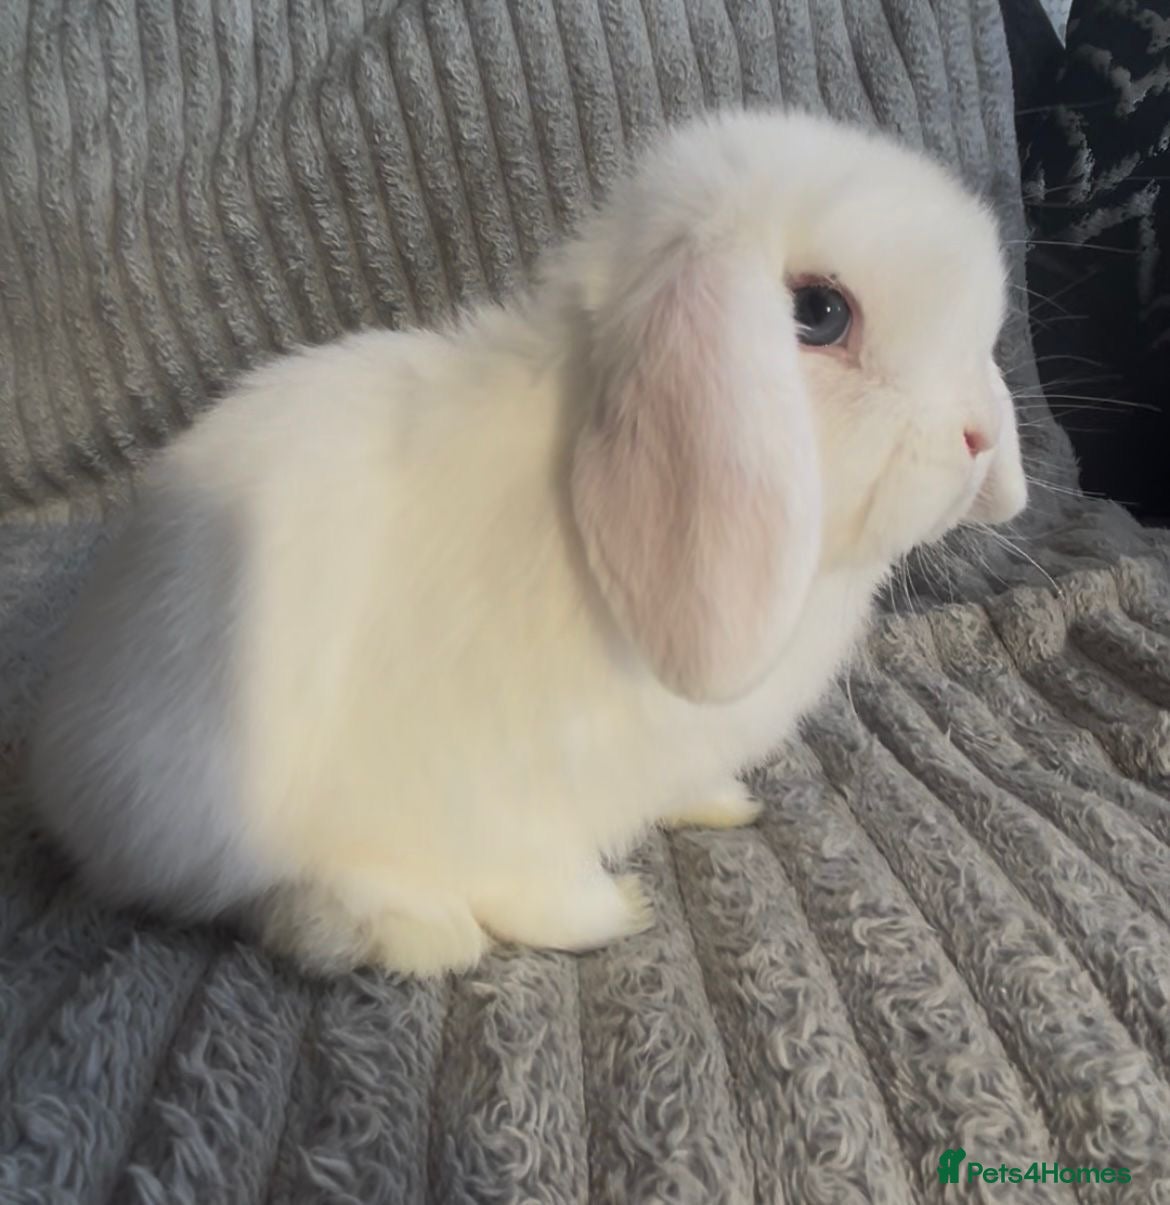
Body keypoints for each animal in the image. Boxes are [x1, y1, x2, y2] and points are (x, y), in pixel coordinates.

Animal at [29, 109, 1028, 977]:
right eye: (820, 313)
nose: (981, 438)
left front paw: (719, 804)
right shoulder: (498, 792)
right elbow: (541, 880)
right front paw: (615, 911)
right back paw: (409, 930)